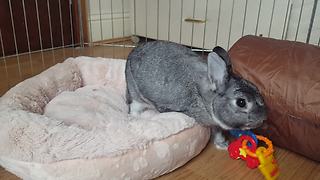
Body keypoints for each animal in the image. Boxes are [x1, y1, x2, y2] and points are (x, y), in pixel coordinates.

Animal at [126, 40, 266, 149]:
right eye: (241, 102)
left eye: (256, 88)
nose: (263, 119)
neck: (207, 100)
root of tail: (131, 55)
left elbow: (218, 132)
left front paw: (222, 145)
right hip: (137, 95)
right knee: (134, 107)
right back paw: (135, 118)